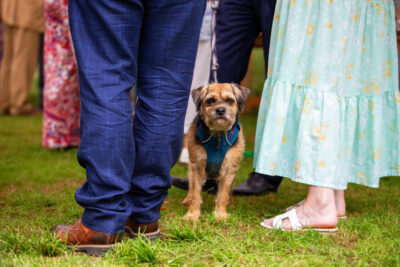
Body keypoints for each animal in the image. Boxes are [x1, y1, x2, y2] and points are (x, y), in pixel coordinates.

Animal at [182, 84, 250, 222]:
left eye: (229, 100)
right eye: (210, 101)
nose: (220, 110)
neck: (218, 134)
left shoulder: (229, 169)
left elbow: (223, 194)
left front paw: (220, 214)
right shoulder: (197, 167)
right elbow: (196, 192)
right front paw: (192, 214)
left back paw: (230, 203)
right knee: (191, 187)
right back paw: (188, 199)